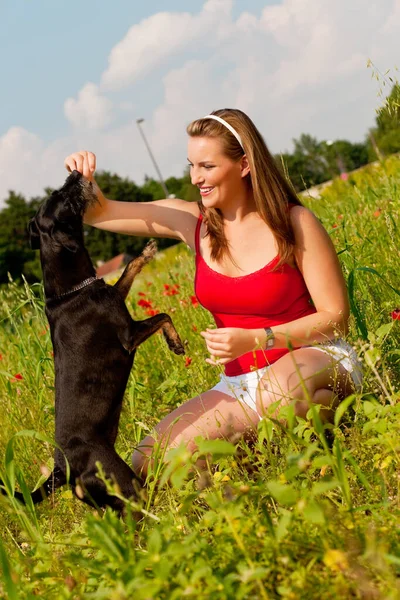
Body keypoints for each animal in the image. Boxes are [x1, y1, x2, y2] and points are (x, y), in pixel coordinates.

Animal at [0, 171, 185, 512]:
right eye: (61, 196)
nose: (75, 172)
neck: (74, 289)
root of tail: (62, 471)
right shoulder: (129, 336)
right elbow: (163, 315)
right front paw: (175, 343)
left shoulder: (115, 293)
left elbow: (127, 271)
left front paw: (147, 251)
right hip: (124, 483)